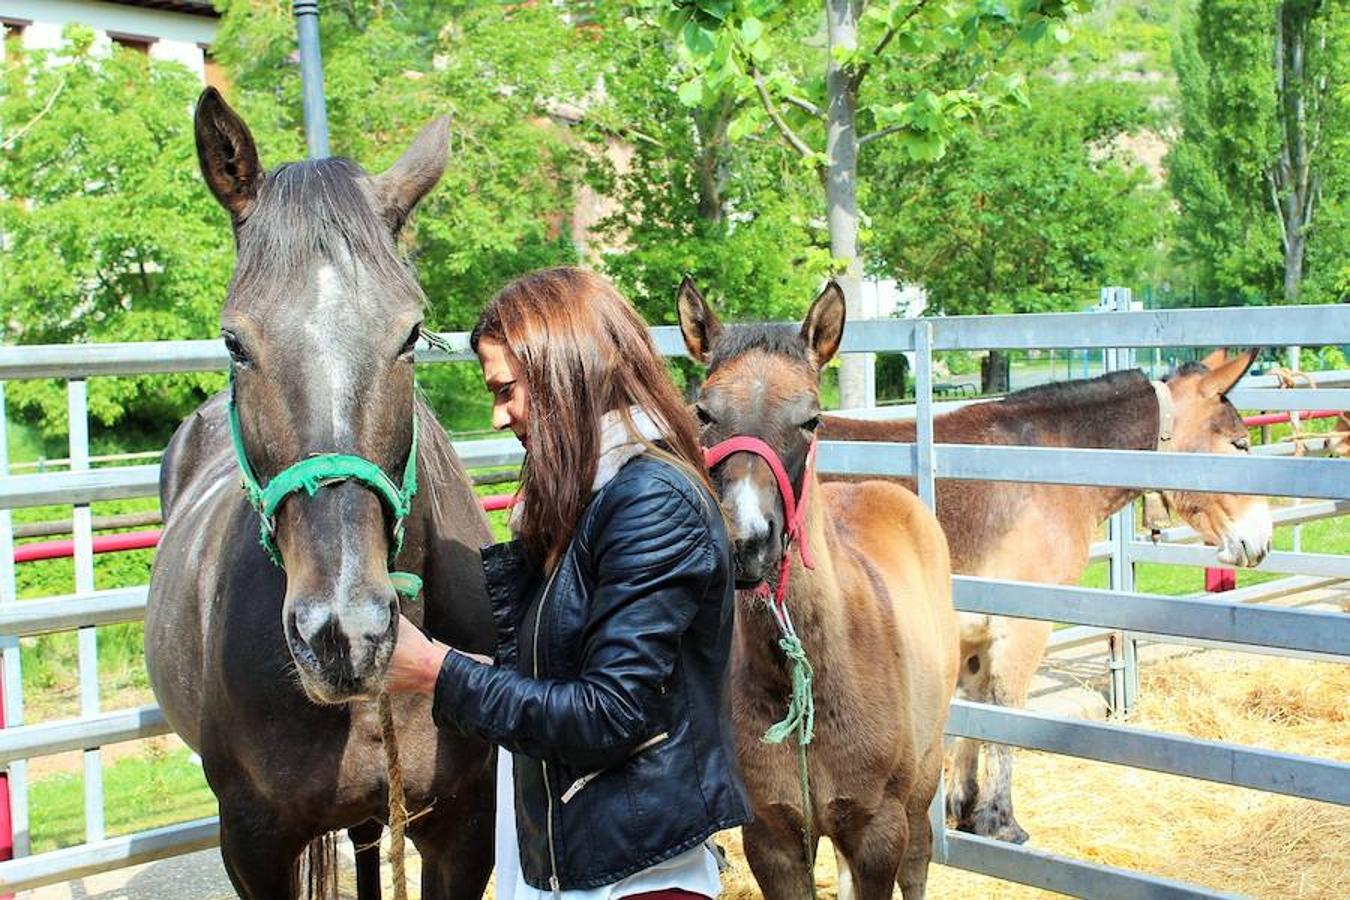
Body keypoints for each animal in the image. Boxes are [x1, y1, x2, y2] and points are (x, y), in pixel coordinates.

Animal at [685, 283, 961, 900]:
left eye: (812, 418)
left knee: (920, 858)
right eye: (703, 412)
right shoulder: (773, 836)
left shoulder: (879, 829)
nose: (746, 541)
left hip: (924, 772)